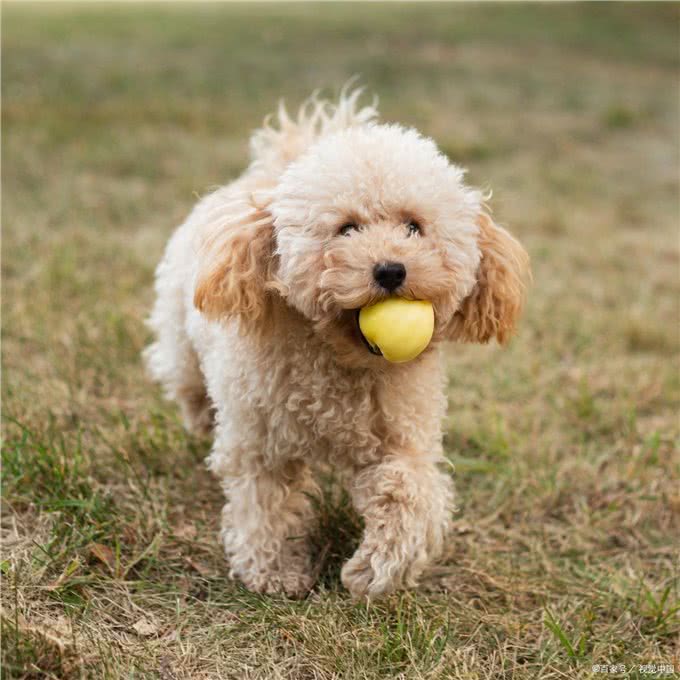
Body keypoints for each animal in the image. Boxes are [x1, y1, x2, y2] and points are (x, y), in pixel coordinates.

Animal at [143, 87, 532, 596]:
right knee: (188, 386)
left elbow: (409, 493)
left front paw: (374, 569)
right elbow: (265, 505)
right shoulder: (261, 441)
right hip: (181, 342)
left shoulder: (402, 437)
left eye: (413, 226)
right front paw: (274, 572)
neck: (339, 365)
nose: (390, 270)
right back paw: (201, 421)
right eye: (347, 227)